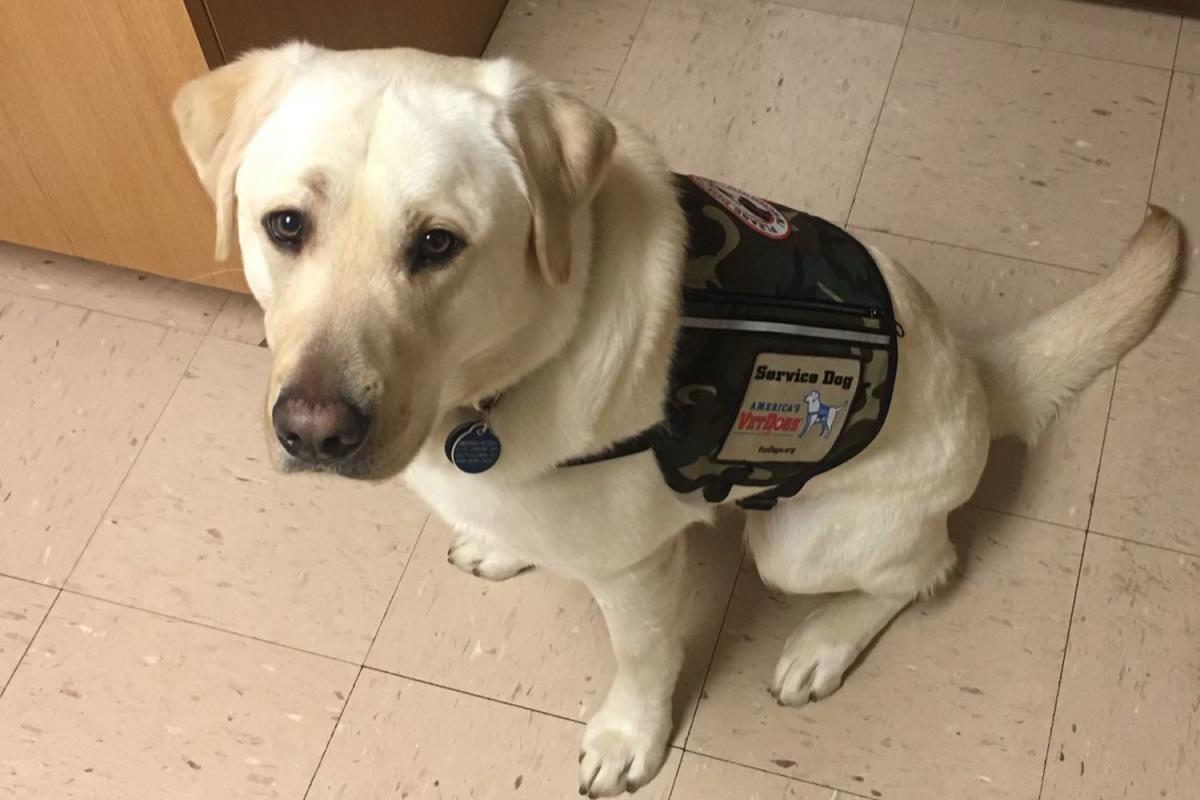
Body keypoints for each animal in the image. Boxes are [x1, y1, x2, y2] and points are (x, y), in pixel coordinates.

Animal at [171, 42, 1180, 796]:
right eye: (285, 225)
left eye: (437, 244)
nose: (314, 432)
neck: (507, 373)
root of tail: (978, 371)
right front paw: (500, 544)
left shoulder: (637, 569)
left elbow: (645, 657)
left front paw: (629, 738)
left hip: (802, 543)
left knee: (928, 568)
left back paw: (823, 644)